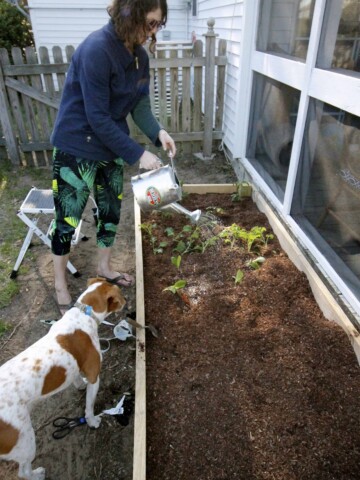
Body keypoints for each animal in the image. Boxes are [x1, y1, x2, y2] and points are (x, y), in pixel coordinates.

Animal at [0, 276, 126, 478]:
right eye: (119, 294)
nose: (126, 302)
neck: (85, 313)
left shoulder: (74, 369)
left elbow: (76, 379)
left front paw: (79, 385)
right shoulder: (94, 376)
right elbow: (89, 407)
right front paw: (92, 422)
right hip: (26, 441)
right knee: (23, 471)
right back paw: (38, 475)